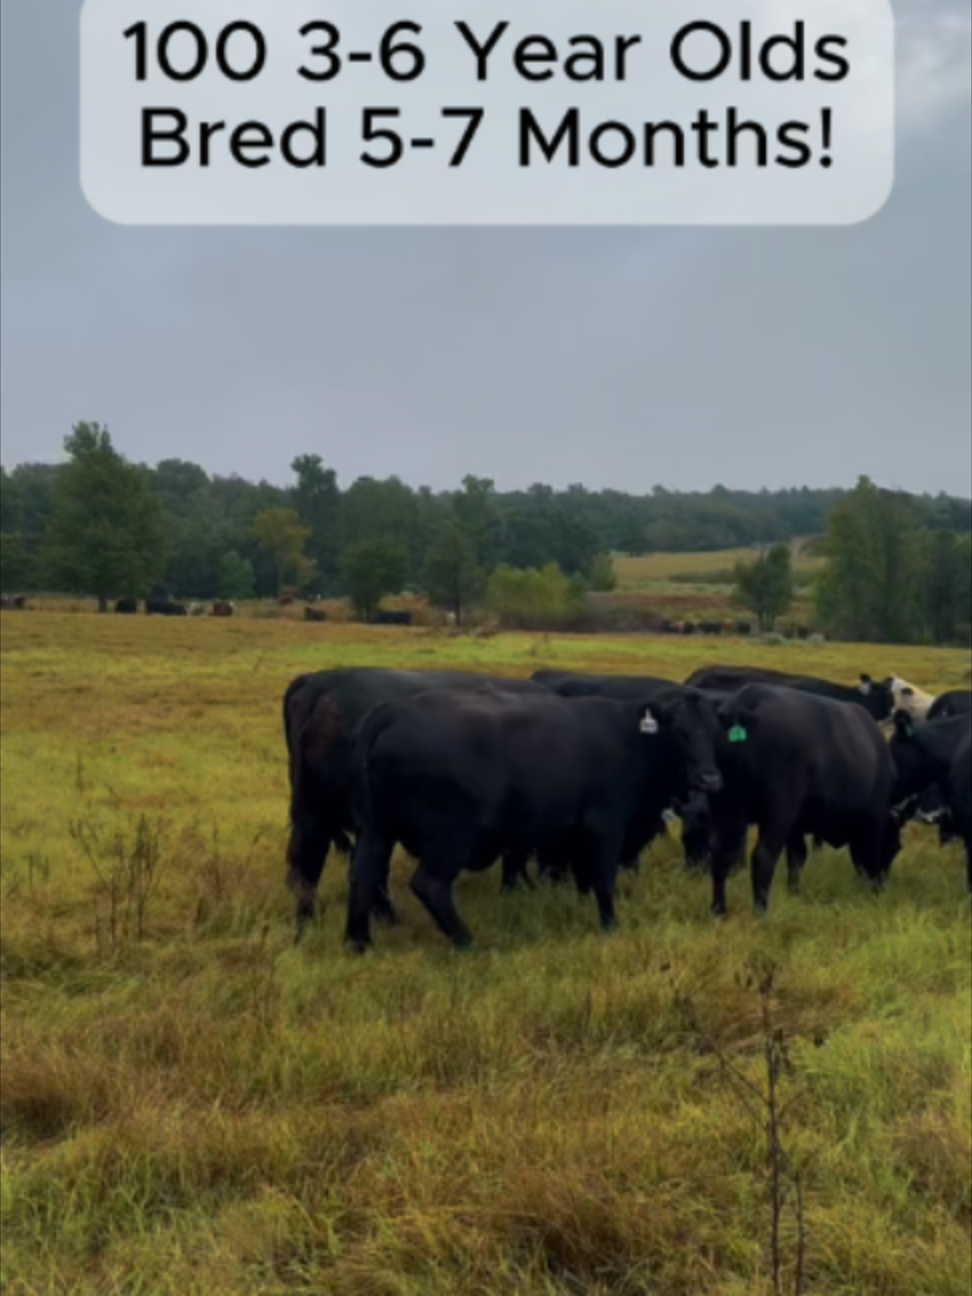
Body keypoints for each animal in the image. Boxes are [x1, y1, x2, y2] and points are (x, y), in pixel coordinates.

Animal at [344, 686, 724, 952]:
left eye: (714, 730)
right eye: (679, 730)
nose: (710, 778)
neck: (632, 739)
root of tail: (394, 710)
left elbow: (583, 880)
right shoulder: (606, 828)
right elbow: (603, 880)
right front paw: (610, 927)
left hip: (376, 831)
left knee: (363, 874)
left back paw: (358, 941)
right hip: (450, 837)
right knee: (430, 885)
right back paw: (468, 942)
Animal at [700, 684, 902, 917]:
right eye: (895, 847)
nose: (881, 889)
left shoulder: (795, 827)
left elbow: (796, 858)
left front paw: (793, 893)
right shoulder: (874, 820)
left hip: (726, 808)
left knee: (720, 856)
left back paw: (718, 910)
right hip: (775, 815)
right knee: (763, 858)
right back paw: (761, 913)